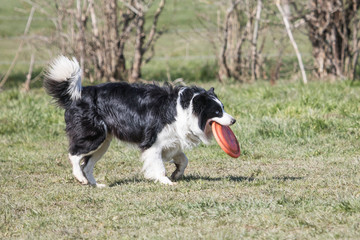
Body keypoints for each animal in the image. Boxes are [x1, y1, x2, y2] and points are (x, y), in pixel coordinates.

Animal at [43, 55, 236, 186]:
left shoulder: (171, 141)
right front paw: (166, 181)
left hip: (104, 142)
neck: (184, 109)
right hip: (94, 135)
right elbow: (158, 165)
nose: (233, 120)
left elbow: (183, 159)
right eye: (217, 111)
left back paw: (96, 185)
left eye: (223, 108)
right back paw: (80, 178)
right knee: (74, 154)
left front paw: (176, 174)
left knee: (88, 164)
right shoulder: (153, 142)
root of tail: (77, 95)